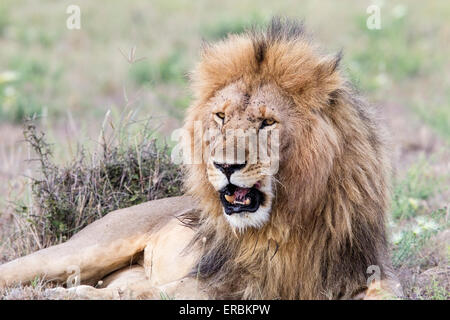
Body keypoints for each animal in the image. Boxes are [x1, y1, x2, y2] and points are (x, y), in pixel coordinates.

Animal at [0, 18, 400, 300]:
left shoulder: (365, 271)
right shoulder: (216, 279)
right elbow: (156, 293)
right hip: (82, 250)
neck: (282, 226)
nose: (225, 166)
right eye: (221, 117)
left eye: (267, 122)